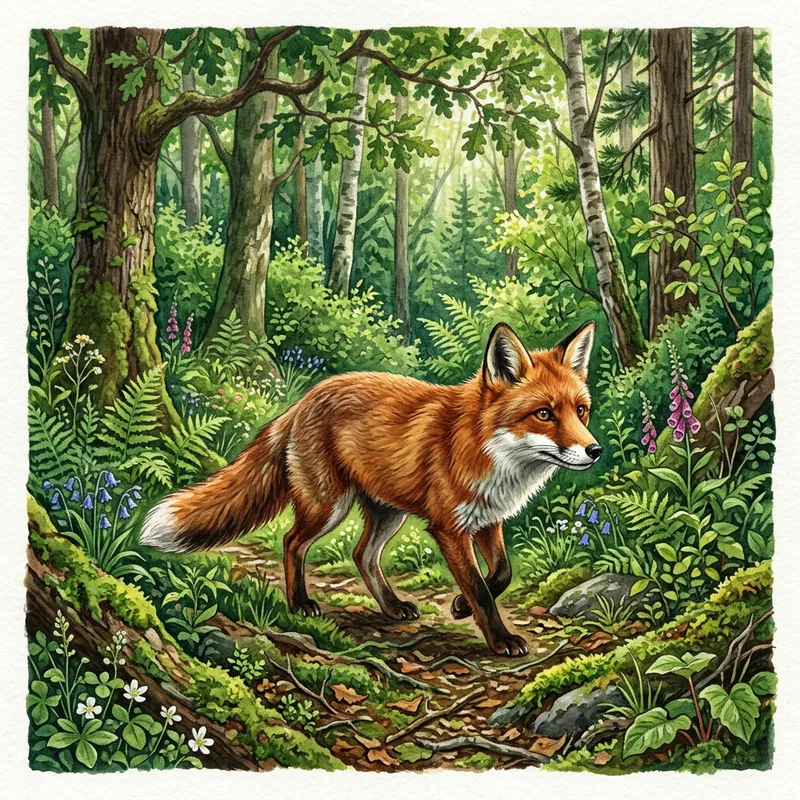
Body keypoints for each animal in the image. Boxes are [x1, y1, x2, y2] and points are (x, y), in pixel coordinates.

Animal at [140, 321, 601, 657]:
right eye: (544, 414)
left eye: (581, 411)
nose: (594, 450)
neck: (487, 451)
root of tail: (304, 399)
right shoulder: (449, 529)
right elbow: (482, 589)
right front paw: (498, 637)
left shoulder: (488, 520)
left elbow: (500, 574)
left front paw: (459, 606)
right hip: (329, 507)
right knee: (292, 542)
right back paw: (300, 604)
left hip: (387, 514)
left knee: (361, 555)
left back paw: (392, 606)